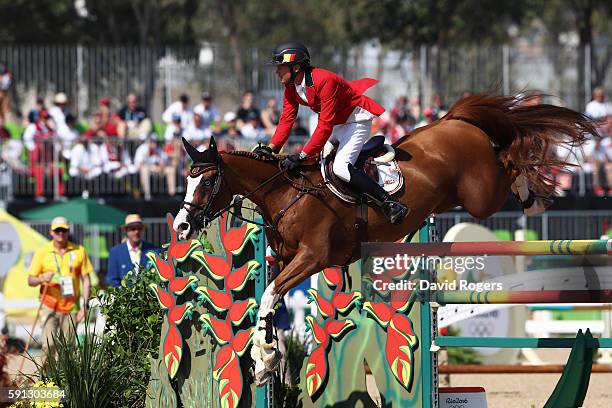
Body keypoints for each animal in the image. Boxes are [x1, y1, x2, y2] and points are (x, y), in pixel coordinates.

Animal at [175, 93, 596, 382]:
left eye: (207, 181)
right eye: (186, 180)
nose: (181, 226)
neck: (285, 194)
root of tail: (452, 121)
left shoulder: (313, 257)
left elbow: (268, 295)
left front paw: (263, 356)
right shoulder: (281, 259)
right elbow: (269, 301)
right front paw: (265, 359)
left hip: (481, 197)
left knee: (508, 159)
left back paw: (533, 197)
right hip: (456, 196)